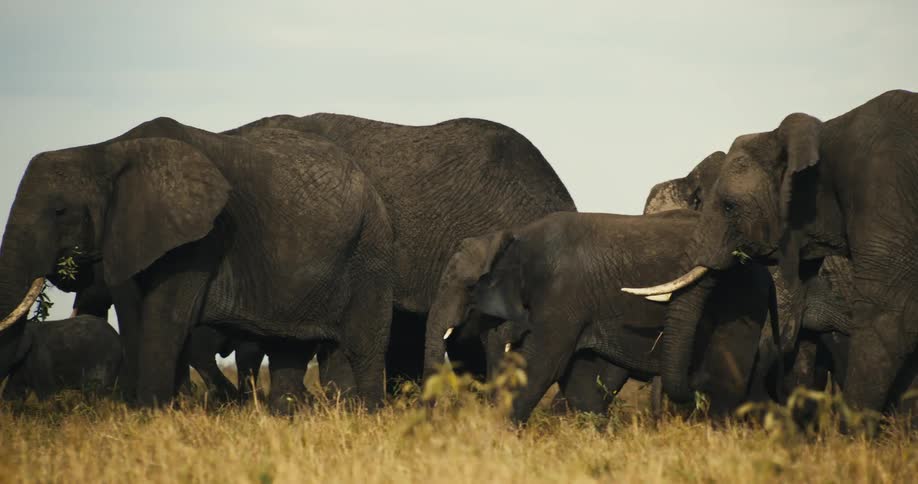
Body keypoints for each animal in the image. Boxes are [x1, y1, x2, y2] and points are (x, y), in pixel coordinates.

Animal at [0, 117, 395, 412]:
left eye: (59, 211)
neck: (104, 151)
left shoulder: (200, 238)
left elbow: (166, 318)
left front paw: (151, 414)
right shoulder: (128, 234)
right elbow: (135, 316)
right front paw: (153, 412)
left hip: (369, 251)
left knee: (362, 346)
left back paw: (363, 416)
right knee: (290, 346)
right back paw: (287, 416)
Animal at [423, 209, 775, 423]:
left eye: (469, 286)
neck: (515, 236)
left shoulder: (563, 297)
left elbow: (540, 366)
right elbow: (580, 384)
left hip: (741, 300)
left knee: (728, 377)